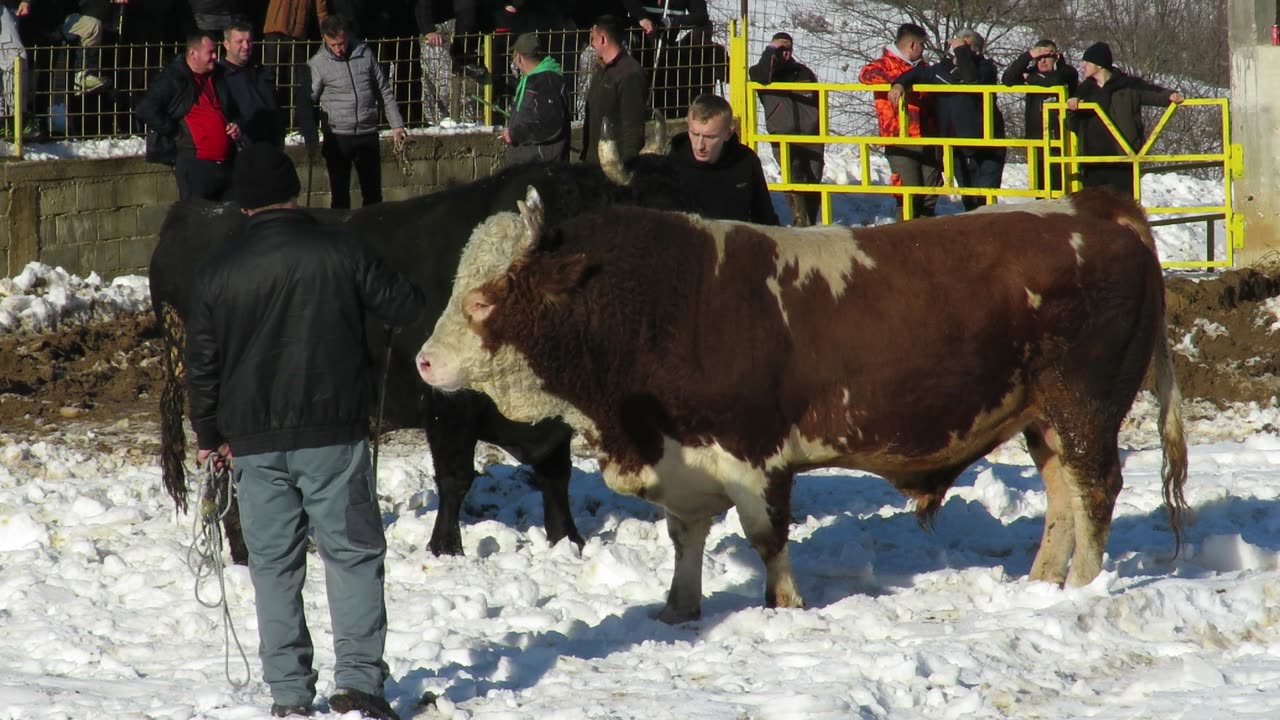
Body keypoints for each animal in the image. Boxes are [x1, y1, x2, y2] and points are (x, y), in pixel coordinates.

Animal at [149, 156, 691, 561]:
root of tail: (194, 213)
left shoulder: (549, 427)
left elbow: (555, 478)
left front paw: (568, 541)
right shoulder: (446, 404)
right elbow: (454, 478)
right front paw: (445, 547)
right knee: (226, 482)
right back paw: (244, 553)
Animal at [417, 188, 1187, 620]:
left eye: (483, 298)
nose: (423, 360)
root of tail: (1092, 210)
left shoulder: (753, 455)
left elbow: (766, 538)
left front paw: (782, 604)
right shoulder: (685, 457)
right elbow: (685, 536)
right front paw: (677, 609)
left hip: (1085, 406)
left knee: (1095, 490)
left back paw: (1082, 590)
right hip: (1042, 418)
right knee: (1063, 496)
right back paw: (1041, 585)